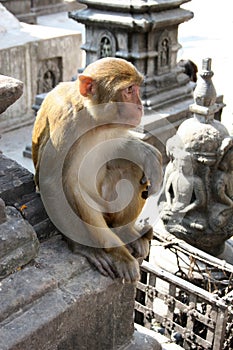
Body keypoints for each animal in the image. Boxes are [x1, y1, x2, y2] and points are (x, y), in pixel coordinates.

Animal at [31, 57, 163, 282]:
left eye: (137, 88)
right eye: (129, 90)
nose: (139, 107)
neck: (94, 118)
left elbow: (118, 148)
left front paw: (147, 153)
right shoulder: (66, 125)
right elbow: (53, 184)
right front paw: (85, 248)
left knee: (131, 167)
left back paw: (126, 232)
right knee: (74, 190)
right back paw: (114, 251)